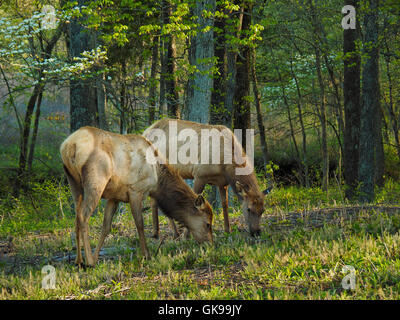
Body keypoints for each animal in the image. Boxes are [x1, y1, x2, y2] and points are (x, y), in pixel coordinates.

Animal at [59, 126, 212, 266]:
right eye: (208, 224)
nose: (210, 244)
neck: (158, 180)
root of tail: (69, 146)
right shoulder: (136, 191)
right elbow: (140, 224)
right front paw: (147, 255)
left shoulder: (114, 197)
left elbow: (106, 227)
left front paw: (96, 256)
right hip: (96, 181)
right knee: (83, 216)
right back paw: (88, 261)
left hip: (74, 183)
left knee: (76, 217)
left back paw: (79, 260)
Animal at [142, 118, 270, 238]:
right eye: (249, 209)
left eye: (263, 210)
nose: (257, 232)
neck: (225, 167)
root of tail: (145, 132)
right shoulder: (199, 174)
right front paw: (186, 236)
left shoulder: (222, 183)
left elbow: (224, 204)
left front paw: (228, 230)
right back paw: (170, 233)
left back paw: (160, 233)